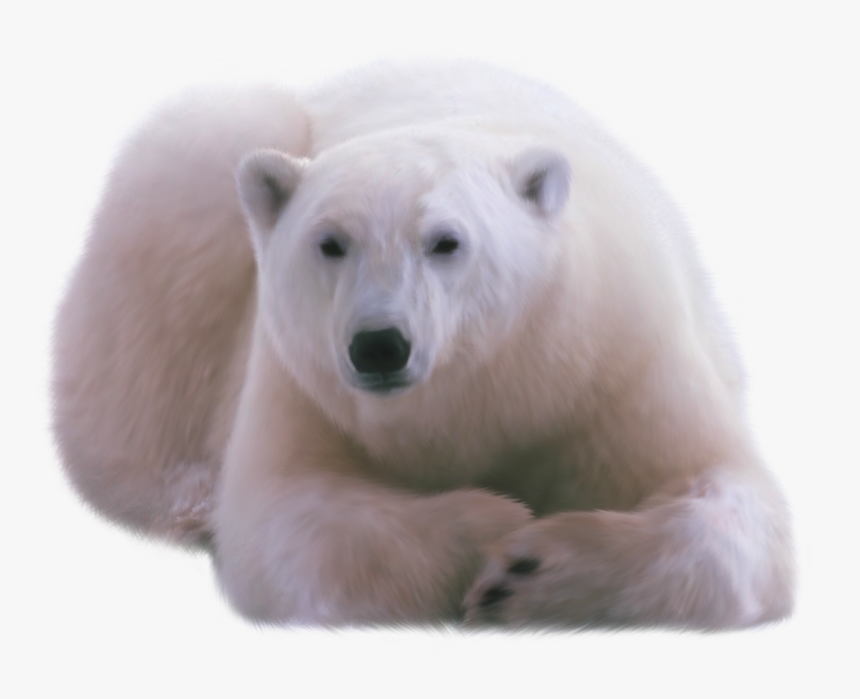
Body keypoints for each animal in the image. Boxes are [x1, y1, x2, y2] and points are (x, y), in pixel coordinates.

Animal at [52, 61, 794, 629]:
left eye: (446, 241)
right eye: (330, 242)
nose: (380, 345)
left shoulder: (616, 357)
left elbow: (731, 501)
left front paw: (530, 571)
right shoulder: (304, 383)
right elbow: (292, 521)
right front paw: (493, 527)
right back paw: (190, 497)